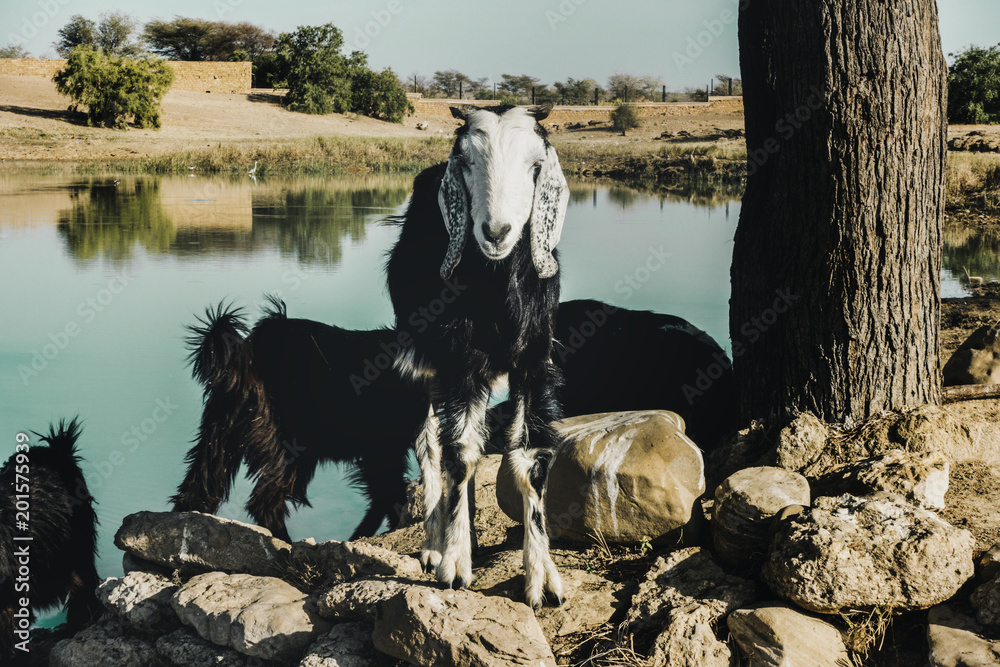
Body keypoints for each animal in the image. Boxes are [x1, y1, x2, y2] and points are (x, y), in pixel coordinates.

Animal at [171, 300, 426, 544]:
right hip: (288, 447)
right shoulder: (383, 450)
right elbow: (390, 493)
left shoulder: (384, 452)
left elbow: (385, 495)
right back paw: (284, 544)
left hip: (220, 434)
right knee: (264, 501)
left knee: (199, 488)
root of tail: (249, 350)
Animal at [384, 105, 572, 612]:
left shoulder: (535, 361)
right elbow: (459, 454)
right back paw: (436, 543)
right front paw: (453, 564)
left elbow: (529, 460)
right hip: (423, 361)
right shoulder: (456, 361)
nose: (496, 232)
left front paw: (543, 580)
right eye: (466, 162)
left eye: (535, 165)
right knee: (431, 444)